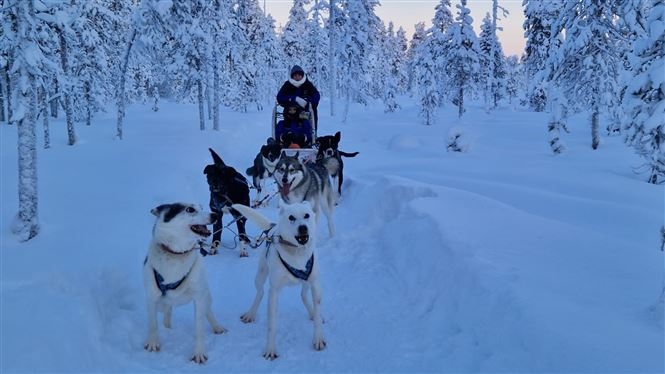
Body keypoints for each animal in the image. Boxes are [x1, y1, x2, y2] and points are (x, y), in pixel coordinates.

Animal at [142, 203, 226, 364]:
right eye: (190, 209)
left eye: (201, 206)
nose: (216, 215)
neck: (176, 255)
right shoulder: (151, 297)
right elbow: (153, 323)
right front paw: (153, 343)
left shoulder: (199, 298)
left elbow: (199, 328)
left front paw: (199, 353)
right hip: (163, 303)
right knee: (167, 313)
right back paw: (167, 327)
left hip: (205, 295)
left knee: (208, 311)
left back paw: (217, 327)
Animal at [233, 203, 326, 360]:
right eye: (291, 217)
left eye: (307, 215)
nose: (303, 227)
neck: (297, 253)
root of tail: (272, 227)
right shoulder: (274, 292)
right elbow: (272, 325)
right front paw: (270, 349)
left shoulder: (315, 284)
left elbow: (318, 315)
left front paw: (318, 338)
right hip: (260, 275)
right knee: (260, 292)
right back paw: (250, 314)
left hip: (307, 282)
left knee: (303, 295)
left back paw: (313, 313)